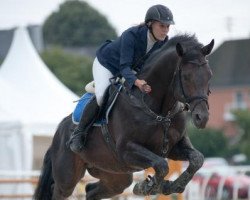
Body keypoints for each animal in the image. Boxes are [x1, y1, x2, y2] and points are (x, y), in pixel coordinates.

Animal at [33, 33, 215, 199]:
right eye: (186, 76)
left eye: (210, 75)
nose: (202, 117)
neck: (158, 110)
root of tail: (58, 131)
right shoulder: (127, 149)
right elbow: (162, 165)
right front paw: (146, 187)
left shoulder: (174, 147)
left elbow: (197, 159)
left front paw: (173, 186)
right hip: (67, 178)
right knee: (59, 191)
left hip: (116, 176)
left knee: (91, 190)